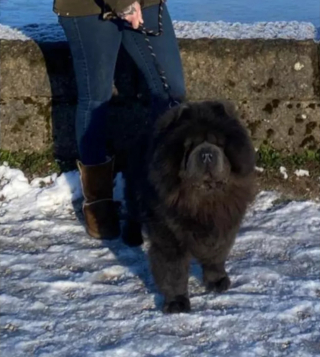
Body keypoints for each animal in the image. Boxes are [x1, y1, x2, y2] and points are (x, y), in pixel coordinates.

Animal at [121, 99, 256, 312]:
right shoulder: (168, 235)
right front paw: (177, 302)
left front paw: (217, 281)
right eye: (190, 145)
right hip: (135, 193)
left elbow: (216, 256)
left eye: (218, 143)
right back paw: (131, 237)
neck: (204, 200)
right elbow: (173, 270)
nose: (207, 154)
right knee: (131, 212)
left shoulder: (224, 225)